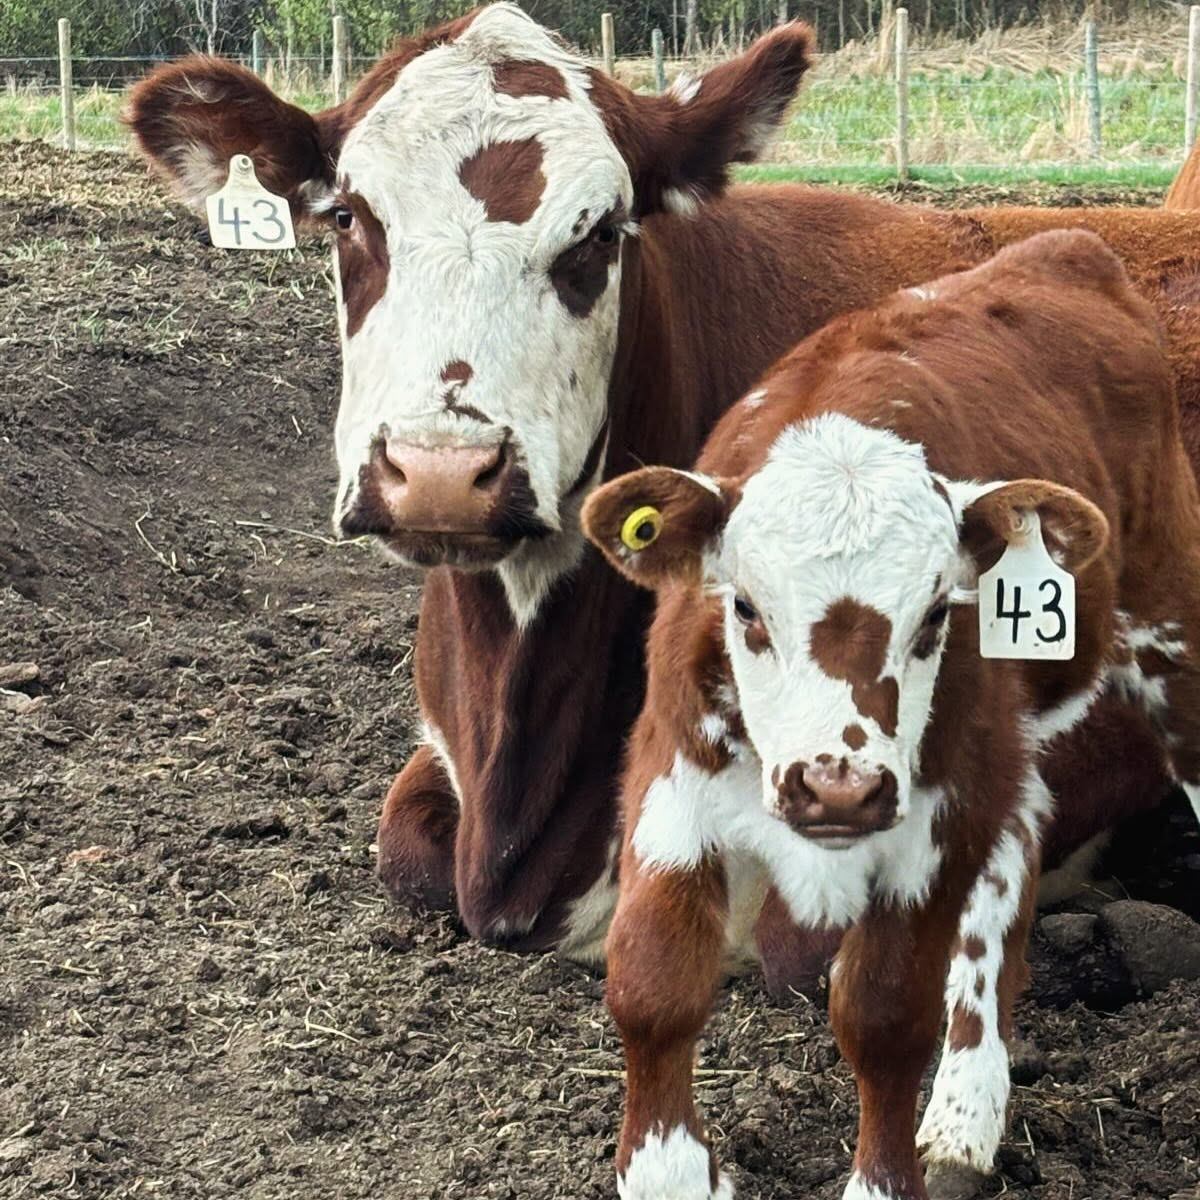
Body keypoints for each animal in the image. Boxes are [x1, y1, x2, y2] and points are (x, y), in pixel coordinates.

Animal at [581, 229, 1200, 1200]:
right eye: (745, 606)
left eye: (939, 612)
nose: (837, 789)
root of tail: (1067, 245)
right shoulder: (671, 772)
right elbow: (652, 983)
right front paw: (670, 1173)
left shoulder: (937, 810)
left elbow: (883, 1015)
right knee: (1016, 846)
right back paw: (968, 1107)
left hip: (1167, 628)